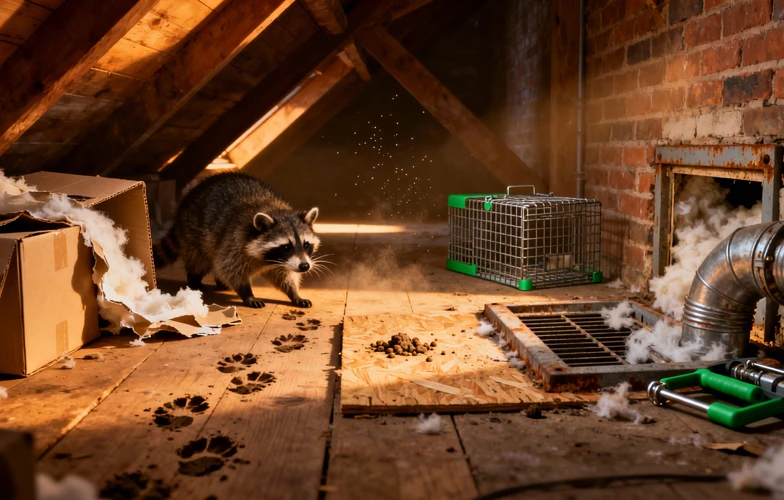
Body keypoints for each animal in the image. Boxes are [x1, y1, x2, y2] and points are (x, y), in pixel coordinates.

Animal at [153, 172, 321, 309]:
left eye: (306, 244)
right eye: (286, 247)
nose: (305, 266)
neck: (274, 210)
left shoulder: (283, 261)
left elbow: (284, 274)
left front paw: (294, 293)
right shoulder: (234, 240)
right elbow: (229, 267)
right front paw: (247, 293)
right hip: (193, 231)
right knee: (200, 259)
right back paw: (194, 279)